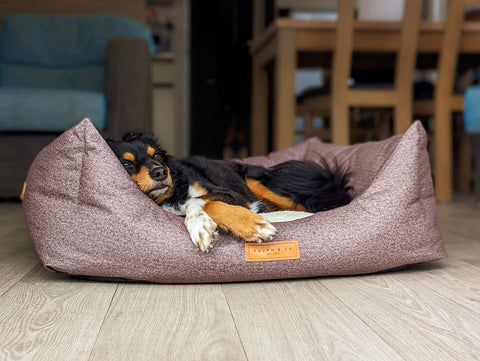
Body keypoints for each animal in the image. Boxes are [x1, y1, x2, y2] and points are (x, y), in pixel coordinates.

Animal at [106, 131, 352, 252]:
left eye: (156, 155)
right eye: (126, 165)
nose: (160, 172)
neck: (171, 196)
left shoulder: (233, 194)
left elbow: (201, 201)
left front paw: (252, 225)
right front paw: (202, 227)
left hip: (256, 181)